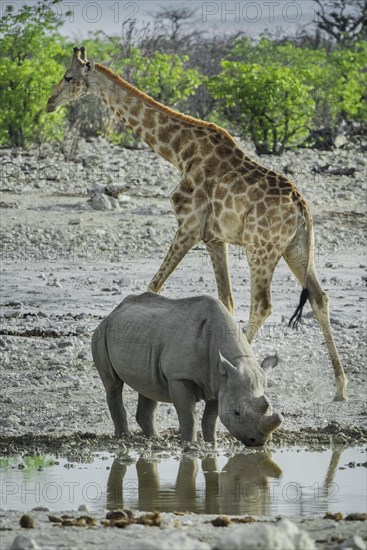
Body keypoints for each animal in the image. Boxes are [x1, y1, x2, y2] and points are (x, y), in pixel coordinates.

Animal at [46, 47, 348, 402]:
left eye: (68, 77)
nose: (49, 102)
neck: (179, 150)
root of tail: (302, 208)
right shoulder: (214, 237)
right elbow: (225, 300)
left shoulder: (189, 225)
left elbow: (153, 286)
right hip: (296, 249)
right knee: (319, 297)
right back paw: (340, 387)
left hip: (262, 249)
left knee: (263, 305)